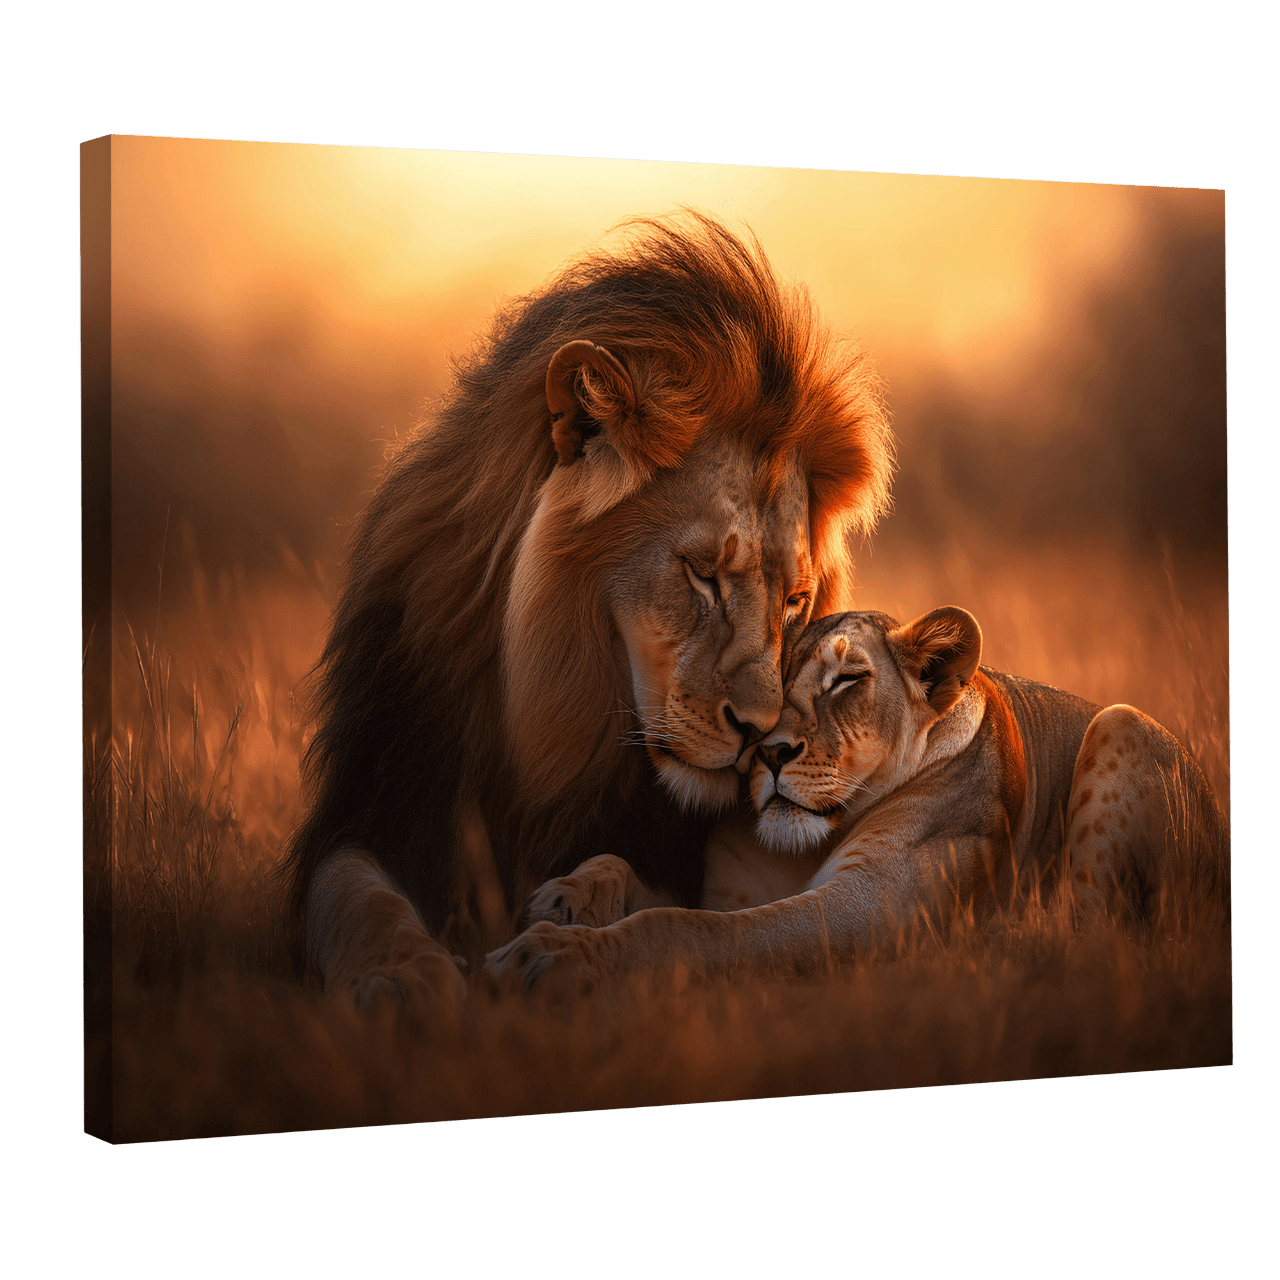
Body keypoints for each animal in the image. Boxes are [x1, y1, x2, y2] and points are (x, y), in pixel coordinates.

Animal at [286, 214, 895, 1008]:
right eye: (703, 574)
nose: (761, 734)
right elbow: (358, 898)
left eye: (794, 601)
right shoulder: (379, 800)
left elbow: (643, 887)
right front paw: (403, 978)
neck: (561, 708)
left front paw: (574, 906)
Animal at [490, 606, 1229, 990]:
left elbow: (684, 928)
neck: (802, 845)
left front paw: (549, 956)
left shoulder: (873, 908)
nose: (769, 750)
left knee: (1103, 945)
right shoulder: (731, 890)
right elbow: (636, 878)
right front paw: (563, 899)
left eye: (846, 680)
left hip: (1122, 723)